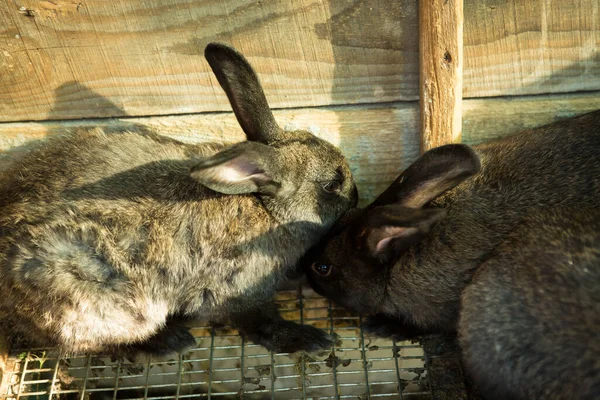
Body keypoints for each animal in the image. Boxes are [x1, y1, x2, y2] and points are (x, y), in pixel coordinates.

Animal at [0, 43, 356, 356]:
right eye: (332, 184)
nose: (355, 196)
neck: (264, 208)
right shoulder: (237, 292)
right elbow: (260, 324)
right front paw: (308, 339)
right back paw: (170, 341)